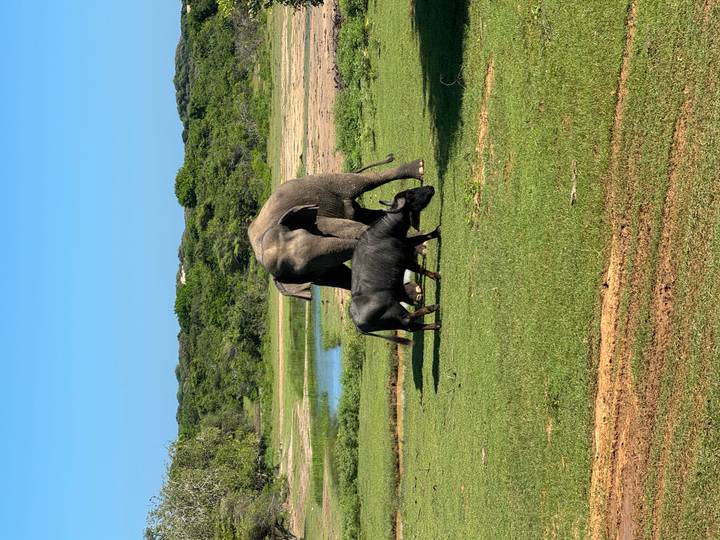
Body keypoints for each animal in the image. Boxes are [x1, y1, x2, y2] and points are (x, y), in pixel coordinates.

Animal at [248, 155, 425, 300]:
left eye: (304, 232)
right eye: (303, 269)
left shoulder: (317, 221)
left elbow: (345, 227)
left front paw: (418, 248)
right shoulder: (316, 275)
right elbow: (341, 276)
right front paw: (415, 294)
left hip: (320, 181)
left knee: (358, 183)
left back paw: (419, 168)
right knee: (362, 213)